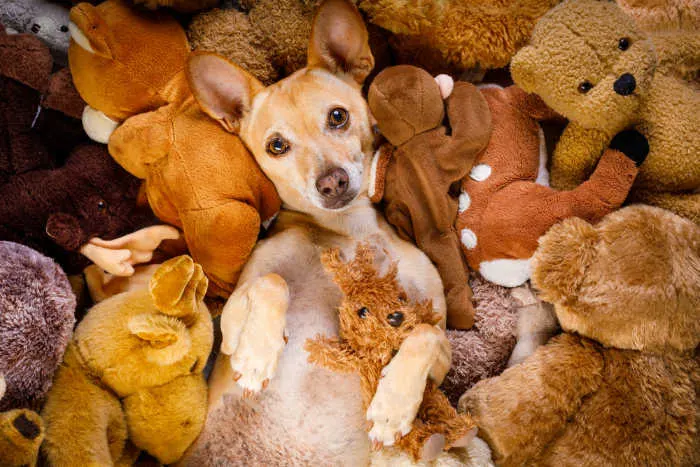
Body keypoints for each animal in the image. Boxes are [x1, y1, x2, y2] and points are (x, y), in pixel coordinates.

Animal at [180, 1, 464, 466]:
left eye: (337, 117)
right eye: (277, 145)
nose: (332, 183)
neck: (348, 235)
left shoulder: (436, 343)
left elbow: (425, 334)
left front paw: (393, 406)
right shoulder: (230, 323)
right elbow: (272, 282)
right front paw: (258, 354)